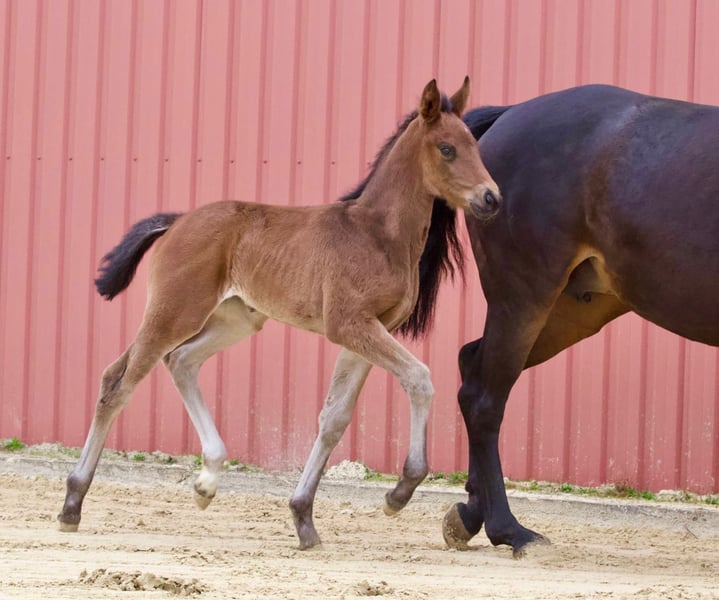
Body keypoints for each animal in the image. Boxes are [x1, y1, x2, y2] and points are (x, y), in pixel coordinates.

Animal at [56, 77, 502, 549]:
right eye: (446, 148)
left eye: (473, 144)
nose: (491, 198)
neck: (378, 235)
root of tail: (175, 222)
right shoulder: (350, 325)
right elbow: (419, 378)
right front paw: (399, 492)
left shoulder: (369, 332)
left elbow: (334, 418)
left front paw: (303, 517)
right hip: (174, 312)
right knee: (118, 382)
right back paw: (72, 504)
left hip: (235, 319)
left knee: (180, 361)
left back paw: (206, 482)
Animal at [440, 84, 719, 557]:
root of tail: (510, 114)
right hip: (525, 297)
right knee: (483, 399)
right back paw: (510, 530)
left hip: (570, 312)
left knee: (470, 364)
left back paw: (470, 515)